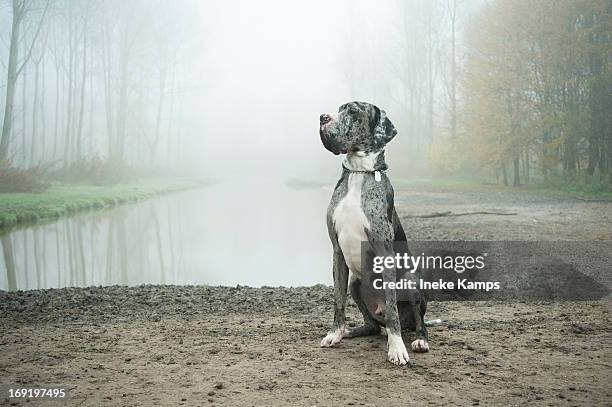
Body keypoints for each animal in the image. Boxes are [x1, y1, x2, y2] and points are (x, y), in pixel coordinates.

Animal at [318, 99, 428, 366]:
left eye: (353, 111)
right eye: (339, 109)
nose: (323, 117)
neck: (359, 173)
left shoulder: (385, 252)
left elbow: (391, 308)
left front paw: (397, 349)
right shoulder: (337, 252)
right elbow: (338, 299)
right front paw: (335, 333)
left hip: (411, 280)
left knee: (416, 323)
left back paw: (419, 340)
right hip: (356, 284)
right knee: (373, 325)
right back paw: (351, 331)